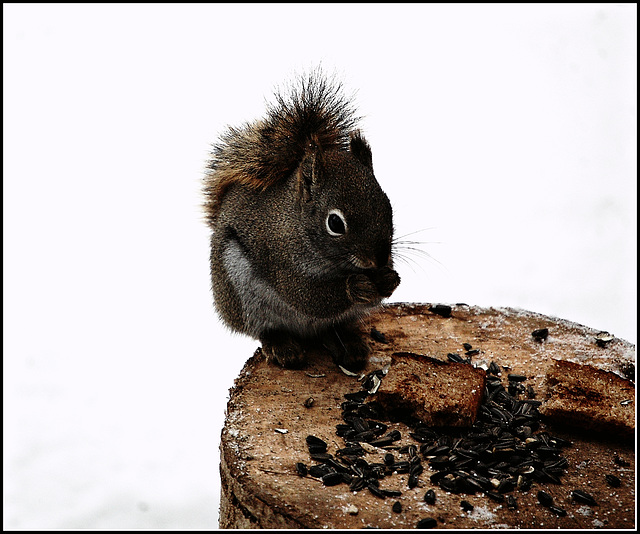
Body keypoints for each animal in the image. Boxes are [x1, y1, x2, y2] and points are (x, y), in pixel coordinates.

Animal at [202, 71, 400, 370]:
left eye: (388, 207)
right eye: (335, 224)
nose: (377, 260)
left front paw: (389, 279)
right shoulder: (281, 262)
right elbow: (307, 296)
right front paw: (355, 287)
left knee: (332, 327)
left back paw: (348, 343)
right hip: (241, 296)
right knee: (265, 328)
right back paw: (282, 346)